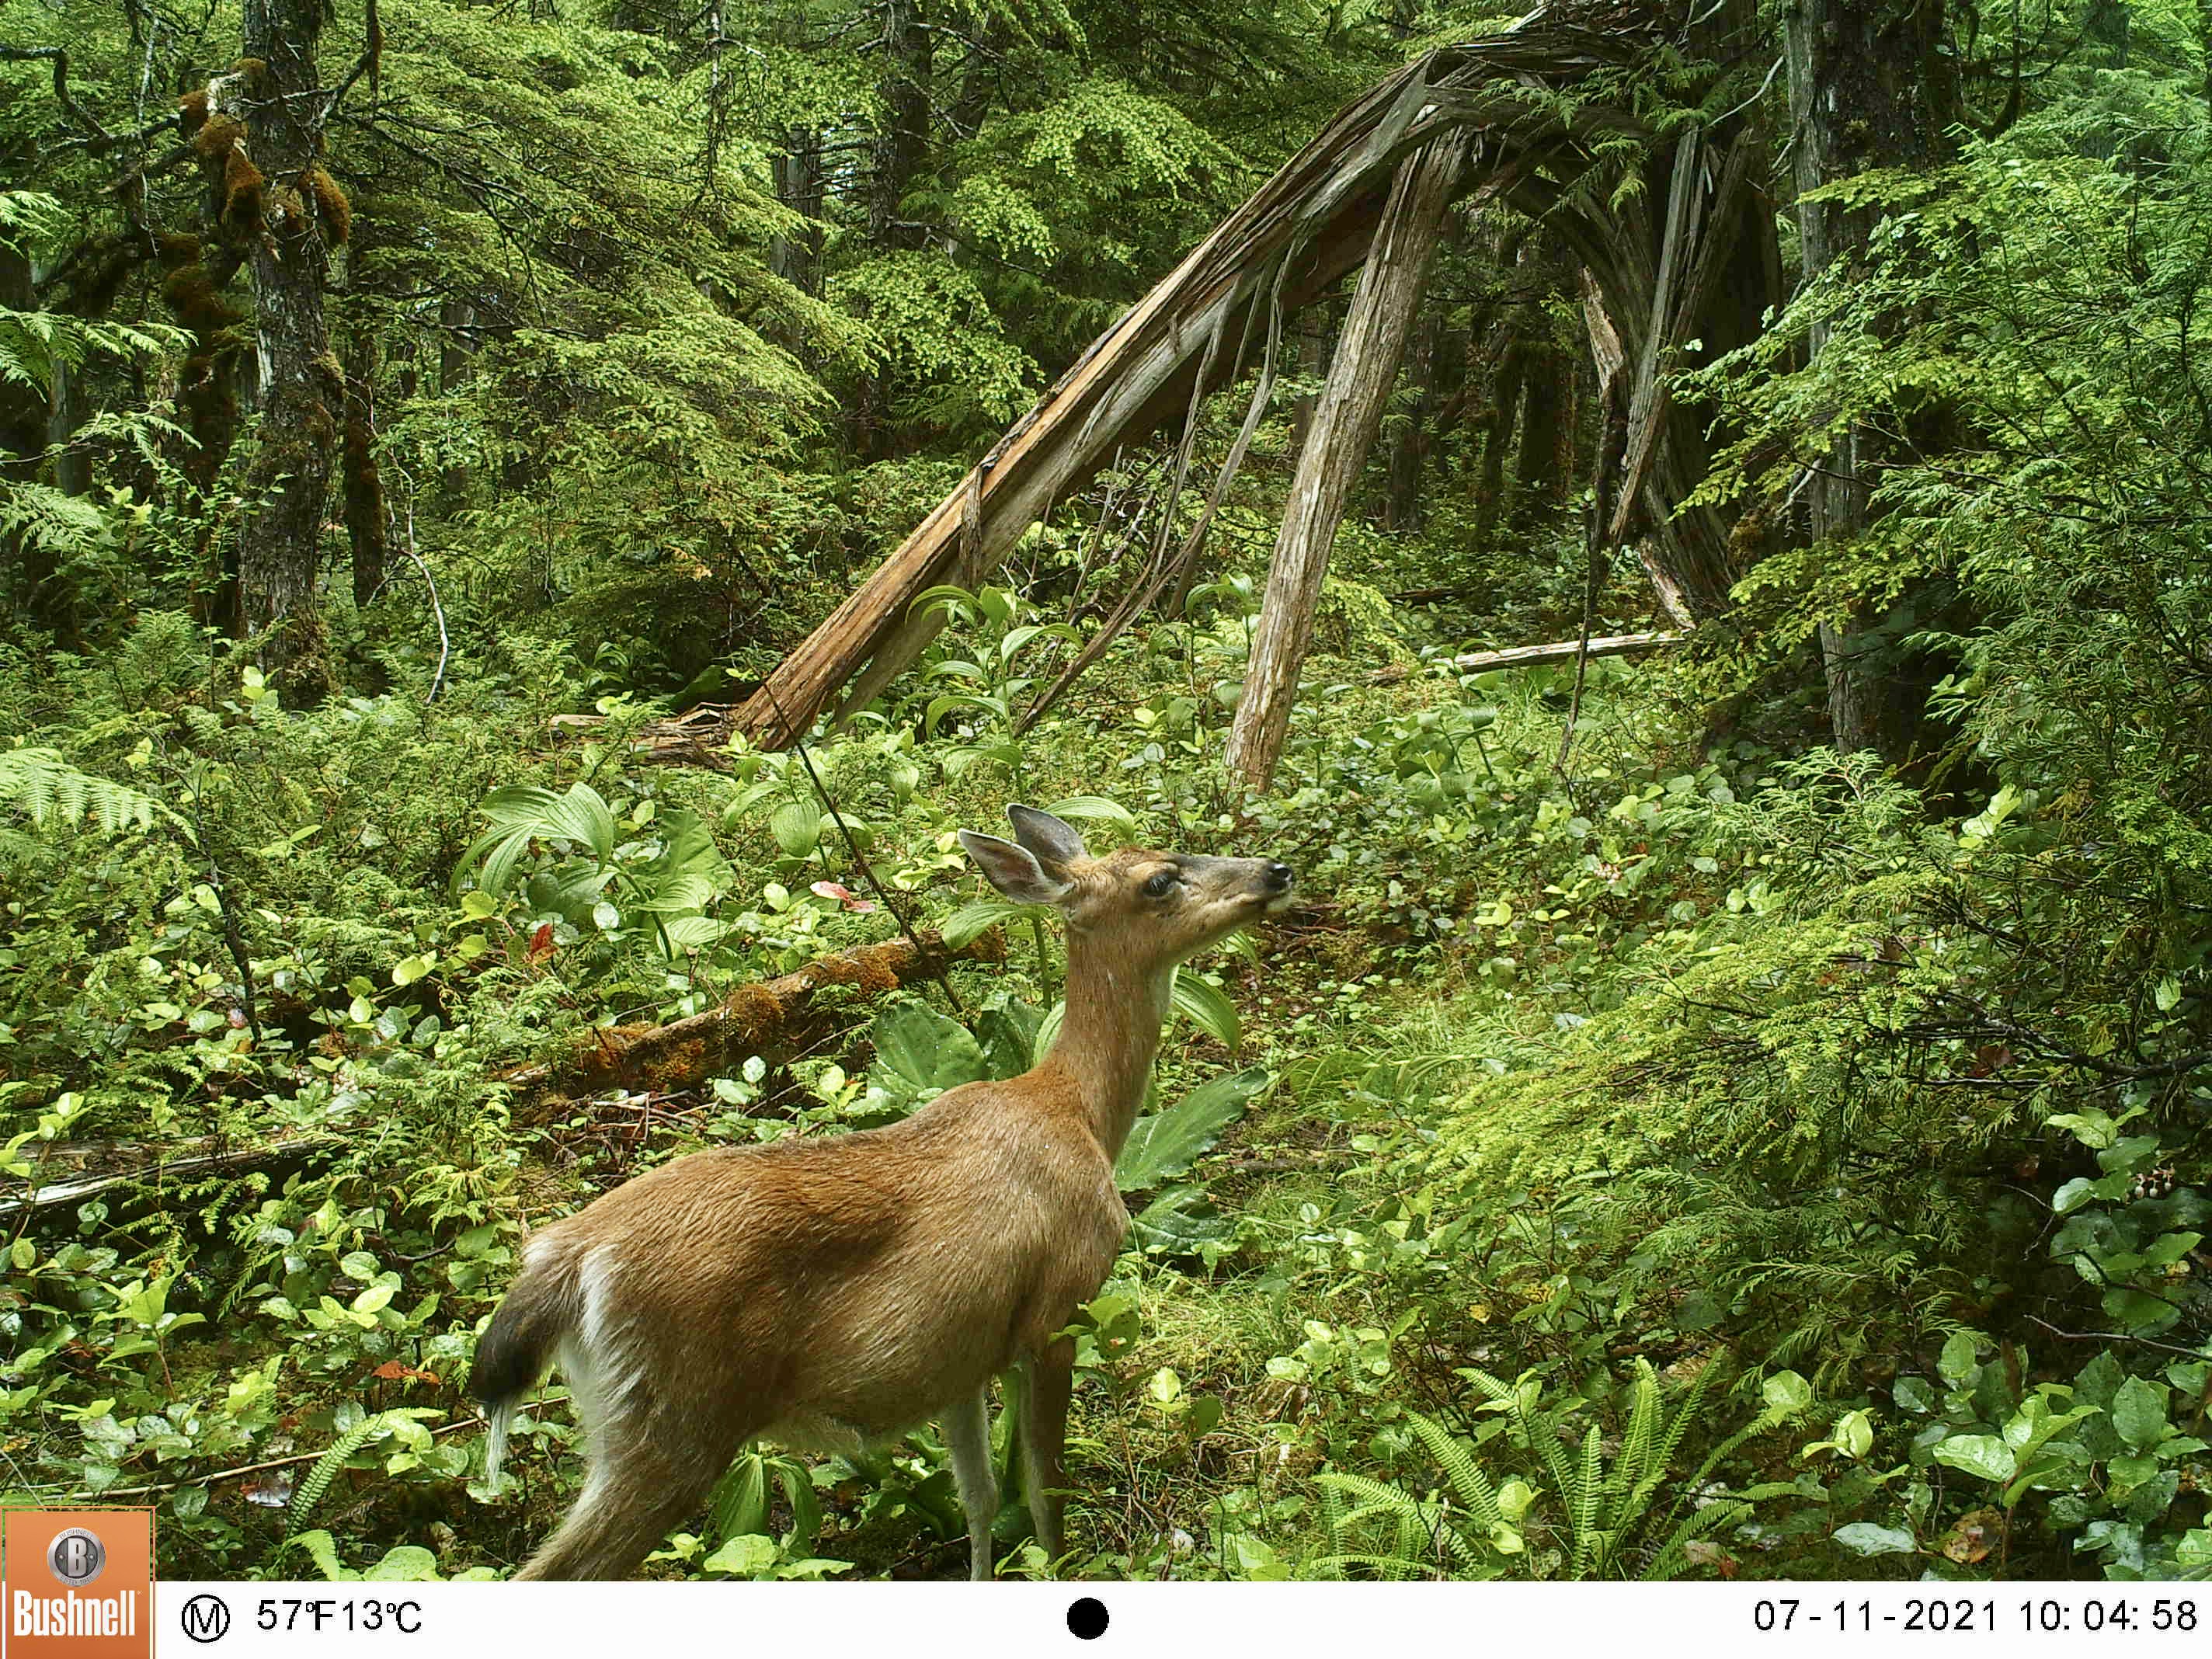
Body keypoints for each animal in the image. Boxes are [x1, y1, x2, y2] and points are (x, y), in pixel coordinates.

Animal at [468, 804, 1295, 1581]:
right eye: (1160, 879)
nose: (1277, 870)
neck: (1077, 1111)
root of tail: (568, 1258)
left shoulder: (958, 1353)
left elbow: (980, 1497)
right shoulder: (1057, 1310)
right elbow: (1045, 1495)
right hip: (676, 1419)